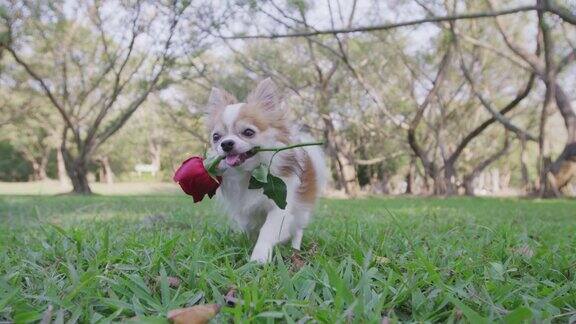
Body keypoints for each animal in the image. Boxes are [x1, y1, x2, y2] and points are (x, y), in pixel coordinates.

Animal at [207, 78, 326, 264]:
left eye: (248, 132)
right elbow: (252, 229)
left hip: (302, 212)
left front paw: (259, 258)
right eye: (216, 137)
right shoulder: (246, 212)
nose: (225, 143)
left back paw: (295, 249)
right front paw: (250, 247)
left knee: (298, 230)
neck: (251, 174)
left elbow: (267, 231)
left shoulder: (281, 206)